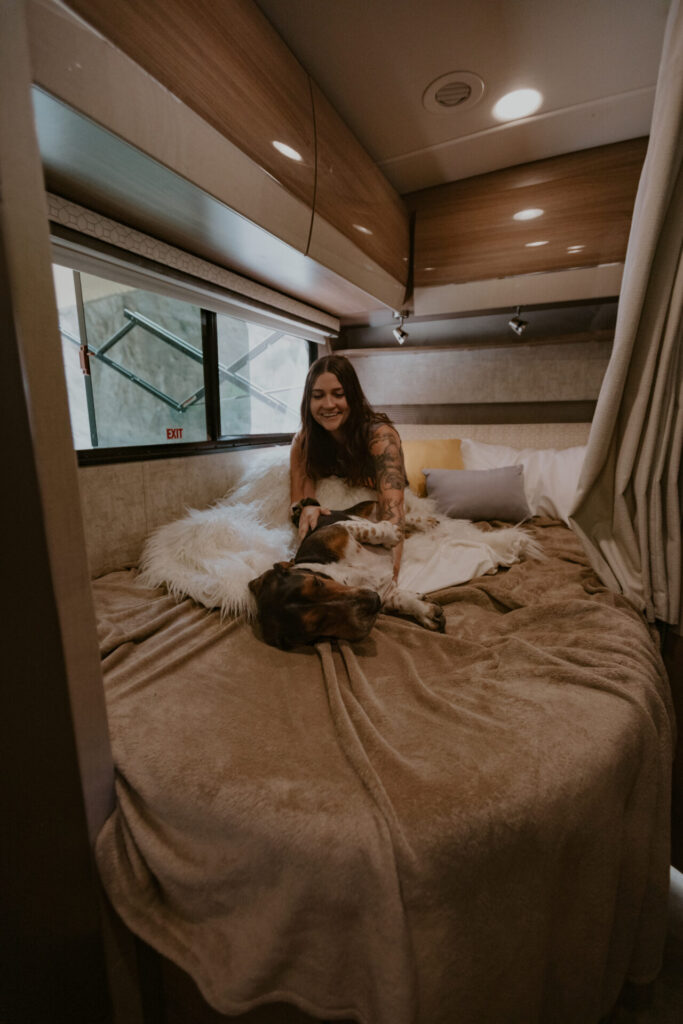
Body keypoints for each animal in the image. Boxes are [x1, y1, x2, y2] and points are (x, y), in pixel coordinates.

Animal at [248, 499, 446, 651]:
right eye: (318, 625)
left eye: (317, 582)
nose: (374, 601)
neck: (344, 578)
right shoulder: (385, 593)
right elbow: (401, 601)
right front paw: (426, 611)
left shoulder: (335, 529)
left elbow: (369, 529)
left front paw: (392, 533)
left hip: (362, 508)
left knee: (386, 515)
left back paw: (421, 523)